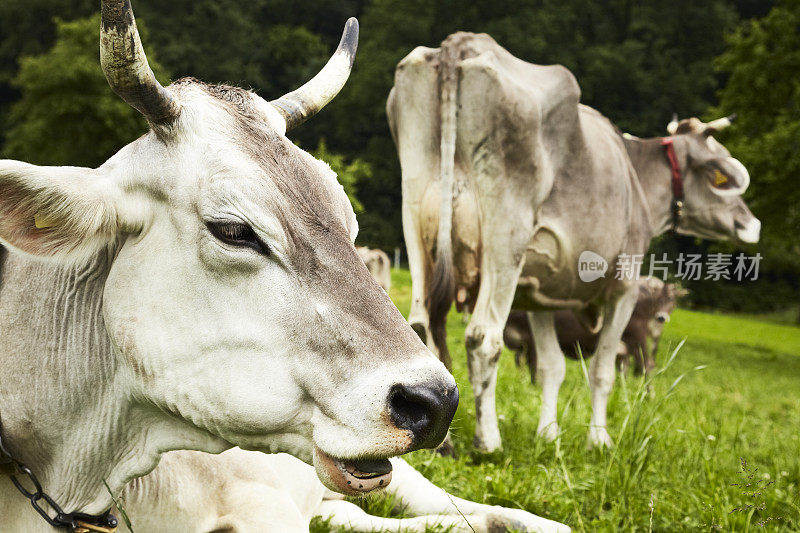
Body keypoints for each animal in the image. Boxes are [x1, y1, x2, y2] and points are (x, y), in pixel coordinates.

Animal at [506, 278, 680, 378]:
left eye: (672, 299)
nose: (661, 317)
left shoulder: (531, 340)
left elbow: (535, 369)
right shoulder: (522, 346)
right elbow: (521, 365)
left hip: (637, 339)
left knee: (646, 365)